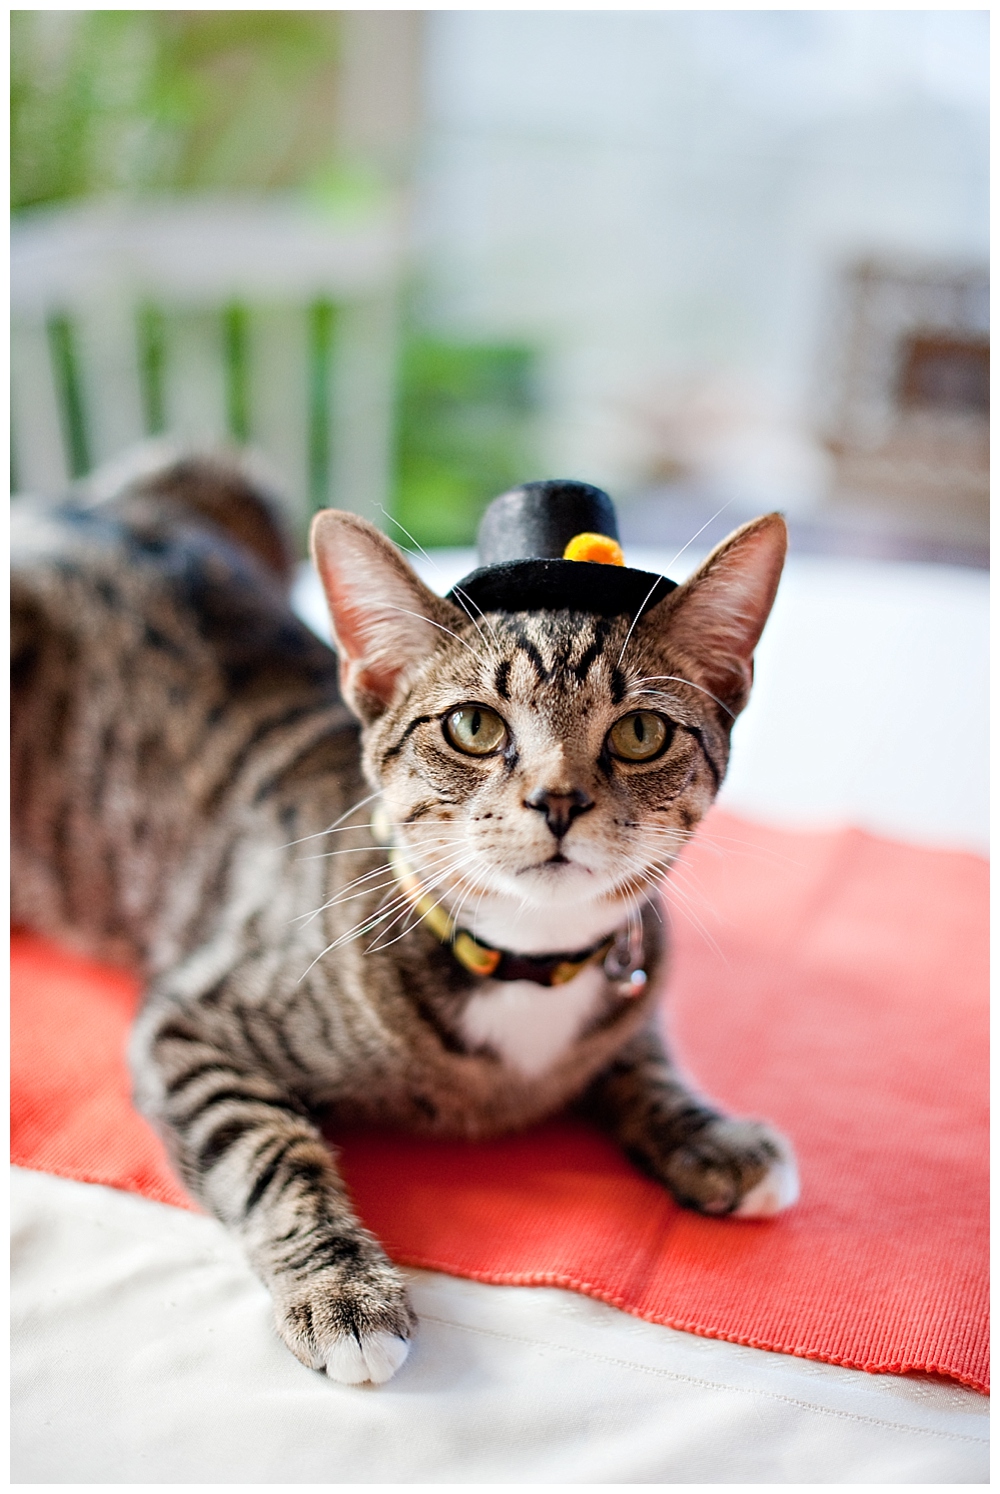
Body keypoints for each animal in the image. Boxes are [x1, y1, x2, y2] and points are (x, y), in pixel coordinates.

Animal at [11, 448, 795, 1380]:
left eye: (641, 733)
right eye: (473, 725)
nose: (558, 800)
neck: (523, 963)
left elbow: (640, 1054)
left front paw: (707, 1132)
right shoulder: (190, 1021)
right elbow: (266, 1149)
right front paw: (342, 1287)